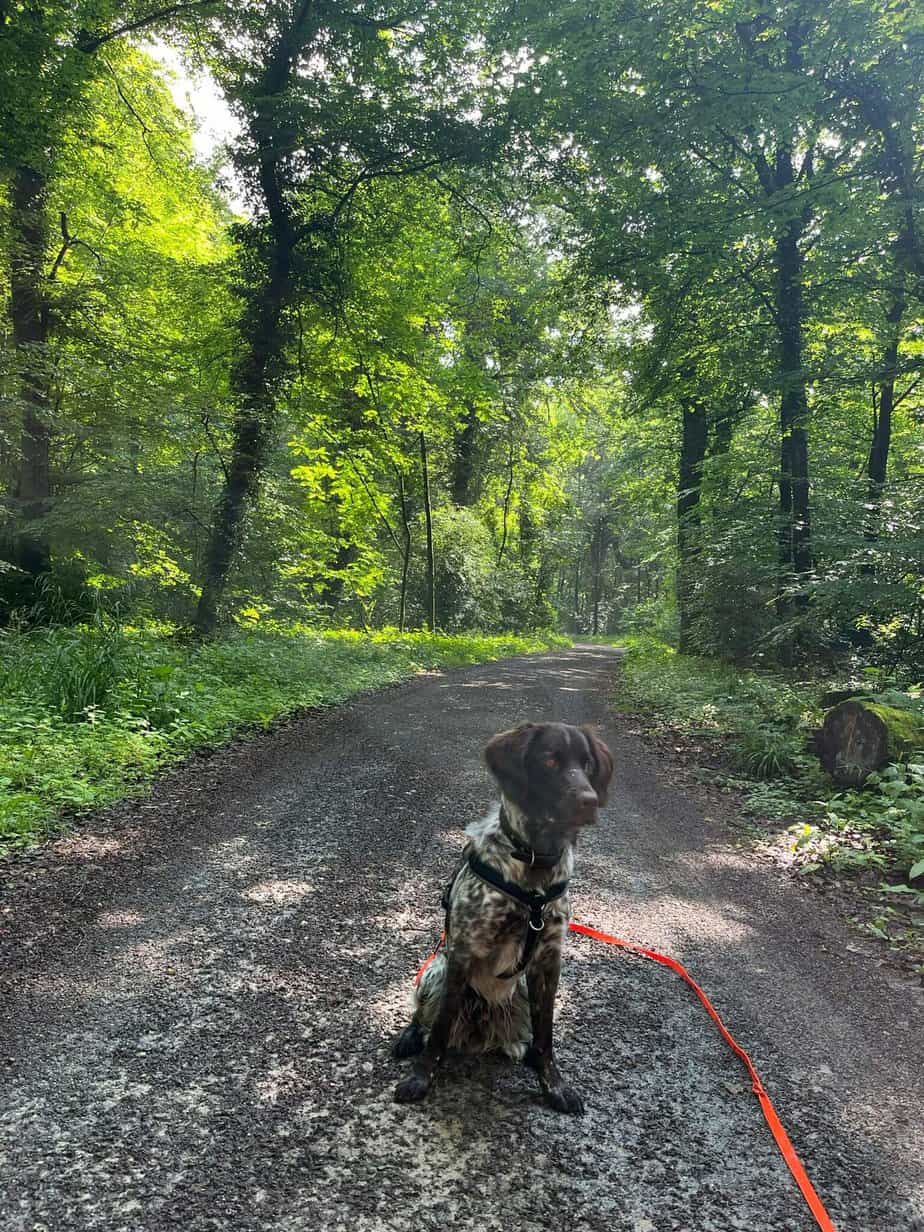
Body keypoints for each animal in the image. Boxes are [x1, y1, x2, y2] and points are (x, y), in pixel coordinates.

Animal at [391, 719, 616, 1118]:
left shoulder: (547, 962)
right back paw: (409, 1038)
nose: (588, 801)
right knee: (424, 1018)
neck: (534, 864)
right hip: (436, 970)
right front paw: (420, 1078)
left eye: (587, 764)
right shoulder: (462, 954)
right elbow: (439, 1033)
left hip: (521, 992)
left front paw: (554, 1085)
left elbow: (545, 1037)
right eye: (550, 760)